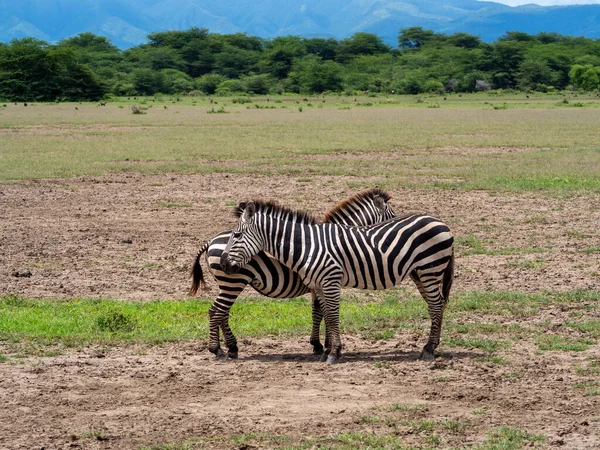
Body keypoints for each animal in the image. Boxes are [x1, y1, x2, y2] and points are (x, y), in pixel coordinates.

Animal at [188, 188, 394, 360]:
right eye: (392, 216)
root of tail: (210, 241)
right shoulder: (322, 282)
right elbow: (321, 313)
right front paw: (322, 345)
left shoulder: (318, 284)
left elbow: (319, 312)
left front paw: (322, 345)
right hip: (233, 282)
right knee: (217, 311)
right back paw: (218, 350)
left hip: (228, 283)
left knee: (222, 313)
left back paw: (231, 347)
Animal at [221, 201, 454, 366]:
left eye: (237, 235)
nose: (223, 263)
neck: (307, 246)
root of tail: (440, 222)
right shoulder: (319, 284)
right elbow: (325, 314)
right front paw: (327, 350)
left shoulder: (330, 281)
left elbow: (331, 315)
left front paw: (333, 353)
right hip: (420, 273)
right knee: (435, 305)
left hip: (430, 270)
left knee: (435, 305)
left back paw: (429, 349)